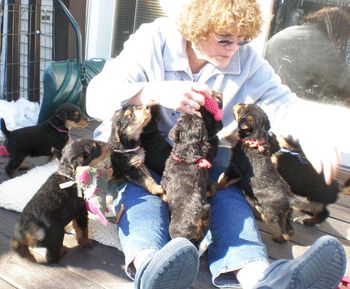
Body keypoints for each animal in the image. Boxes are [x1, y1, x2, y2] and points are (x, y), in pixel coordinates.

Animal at [219, 102, 296, 242]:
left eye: (242, 108)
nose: (238, 103)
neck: (254, 139)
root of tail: (290, 198)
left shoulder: (235, 168)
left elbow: (222, 179)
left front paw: (214, 189)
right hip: (286, 214)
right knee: (288, 231)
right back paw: (279, 239)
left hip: (267, 207)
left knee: (269, 217)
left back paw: (256, 211)